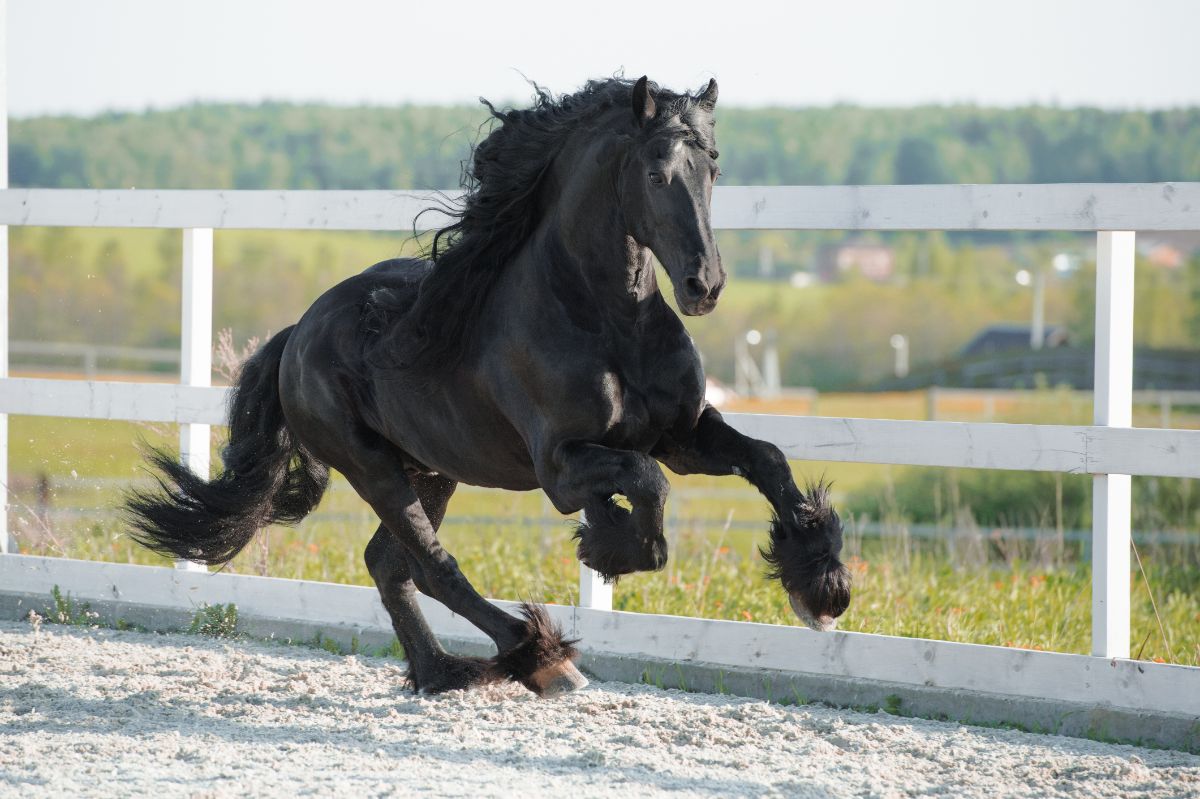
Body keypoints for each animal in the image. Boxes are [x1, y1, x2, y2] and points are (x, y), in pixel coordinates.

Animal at [126, 76, 849, 695]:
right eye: (655, 172)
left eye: (713, 169)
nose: (704, 285)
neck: (606, 320)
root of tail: (296, 334)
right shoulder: (561, 466)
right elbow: (646, 484)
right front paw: (611, 546)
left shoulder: (682, 433)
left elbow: (766, 459)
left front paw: (821, 586)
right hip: (371, 465)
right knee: (430, 564)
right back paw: (538, 656)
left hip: (431, 469)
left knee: (389, 563)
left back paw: (442, 673)